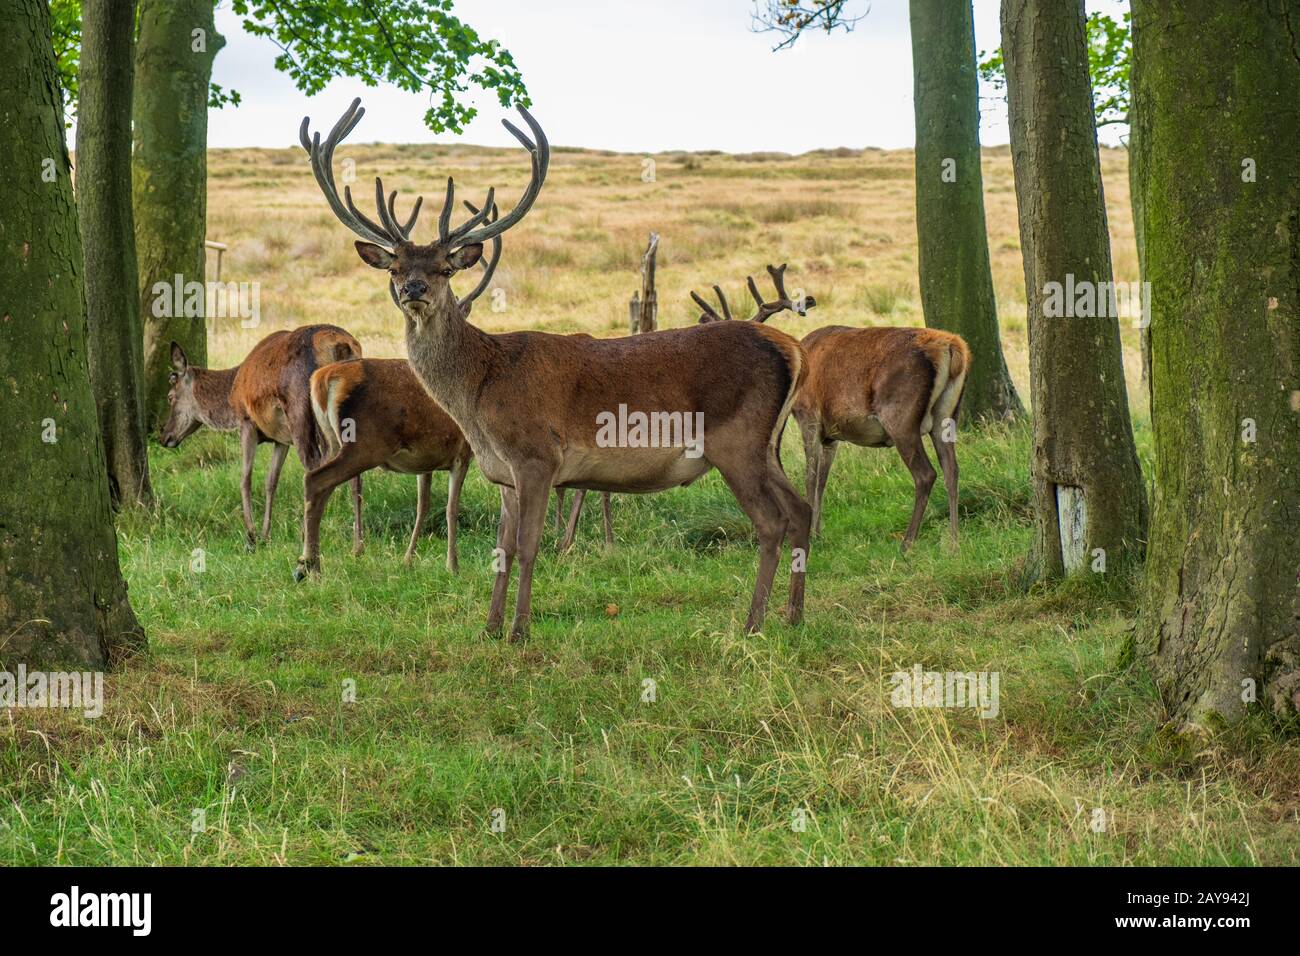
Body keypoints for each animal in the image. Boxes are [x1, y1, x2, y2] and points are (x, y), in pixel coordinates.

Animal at [157, 323, 364, 546]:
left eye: (170, 397)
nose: (164, 436)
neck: (231, 394)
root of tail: (341, 346)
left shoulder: (247, 423)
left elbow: (245, 478)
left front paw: (251, 534)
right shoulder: (281, 439)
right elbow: (270, 481)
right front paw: (266, 533)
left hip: (299, 411)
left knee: (314, 467)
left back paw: (306, 536)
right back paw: (358, 542)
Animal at [295, 358, 473, 580]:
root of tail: (322, 378)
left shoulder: (426, 463)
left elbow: (423, 506)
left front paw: (407, 560)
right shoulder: (463, 453)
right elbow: (451, 509)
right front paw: (452, 566)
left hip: (333, 442)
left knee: (320, 487)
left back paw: (307, 564)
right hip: (365, 445)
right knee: (314, 480)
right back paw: (312, 567)